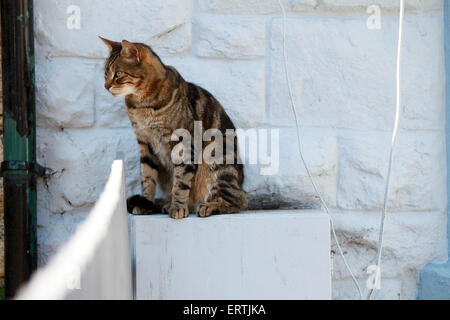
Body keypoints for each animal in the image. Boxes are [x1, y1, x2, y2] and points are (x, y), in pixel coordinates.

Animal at [100, 37, 248, 218]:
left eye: (118, 74)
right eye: (105, 74)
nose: (106, 86)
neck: (141, 104)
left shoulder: (184, 143)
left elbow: (181, 181)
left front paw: (178, 206)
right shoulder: (144, 143)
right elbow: (147, 177)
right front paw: (146, 203)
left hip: (217, 159)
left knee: (240, 200)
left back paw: (208, 206)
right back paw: (163, 203)